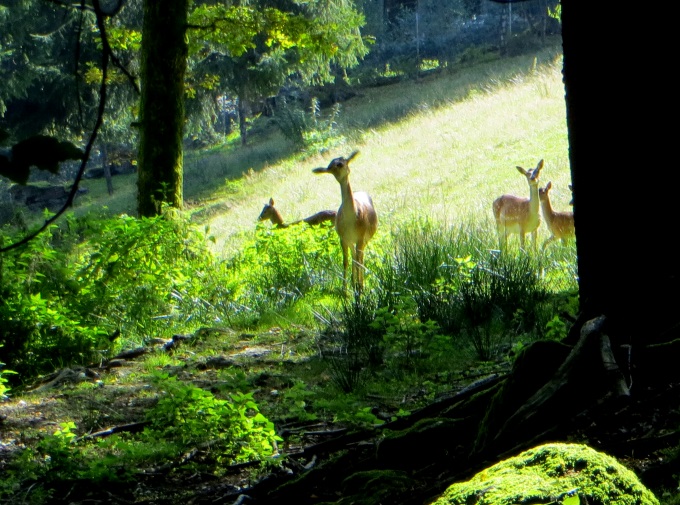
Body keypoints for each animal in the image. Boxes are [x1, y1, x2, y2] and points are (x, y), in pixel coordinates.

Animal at [312, 150, 378, 292]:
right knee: (354, 256)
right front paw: (345, 290)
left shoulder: (360, 236)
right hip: (352, 241)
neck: (351, 220)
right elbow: (345, 261)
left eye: (341, 163)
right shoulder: (343, 238)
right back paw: (354, 282)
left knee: (360, 258)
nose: (332, 169)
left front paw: (359, 287)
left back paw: (360, 284)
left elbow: (358, 260)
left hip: (365, 239)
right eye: (330, 166)